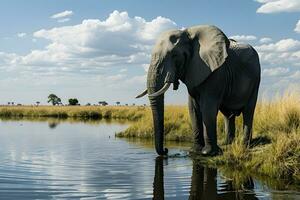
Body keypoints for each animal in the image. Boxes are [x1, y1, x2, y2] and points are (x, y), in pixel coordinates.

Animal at [136, 25, 260, 156]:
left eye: (174, 55)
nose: (166, 150)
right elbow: (193, 108)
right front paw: (195, 150)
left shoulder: (215, 72)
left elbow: (208, 108)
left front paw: (208, 153)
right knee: (228, 115)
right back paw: (227, 143)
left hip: (256, 80)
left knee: (248, 111)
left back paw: (244, 144)